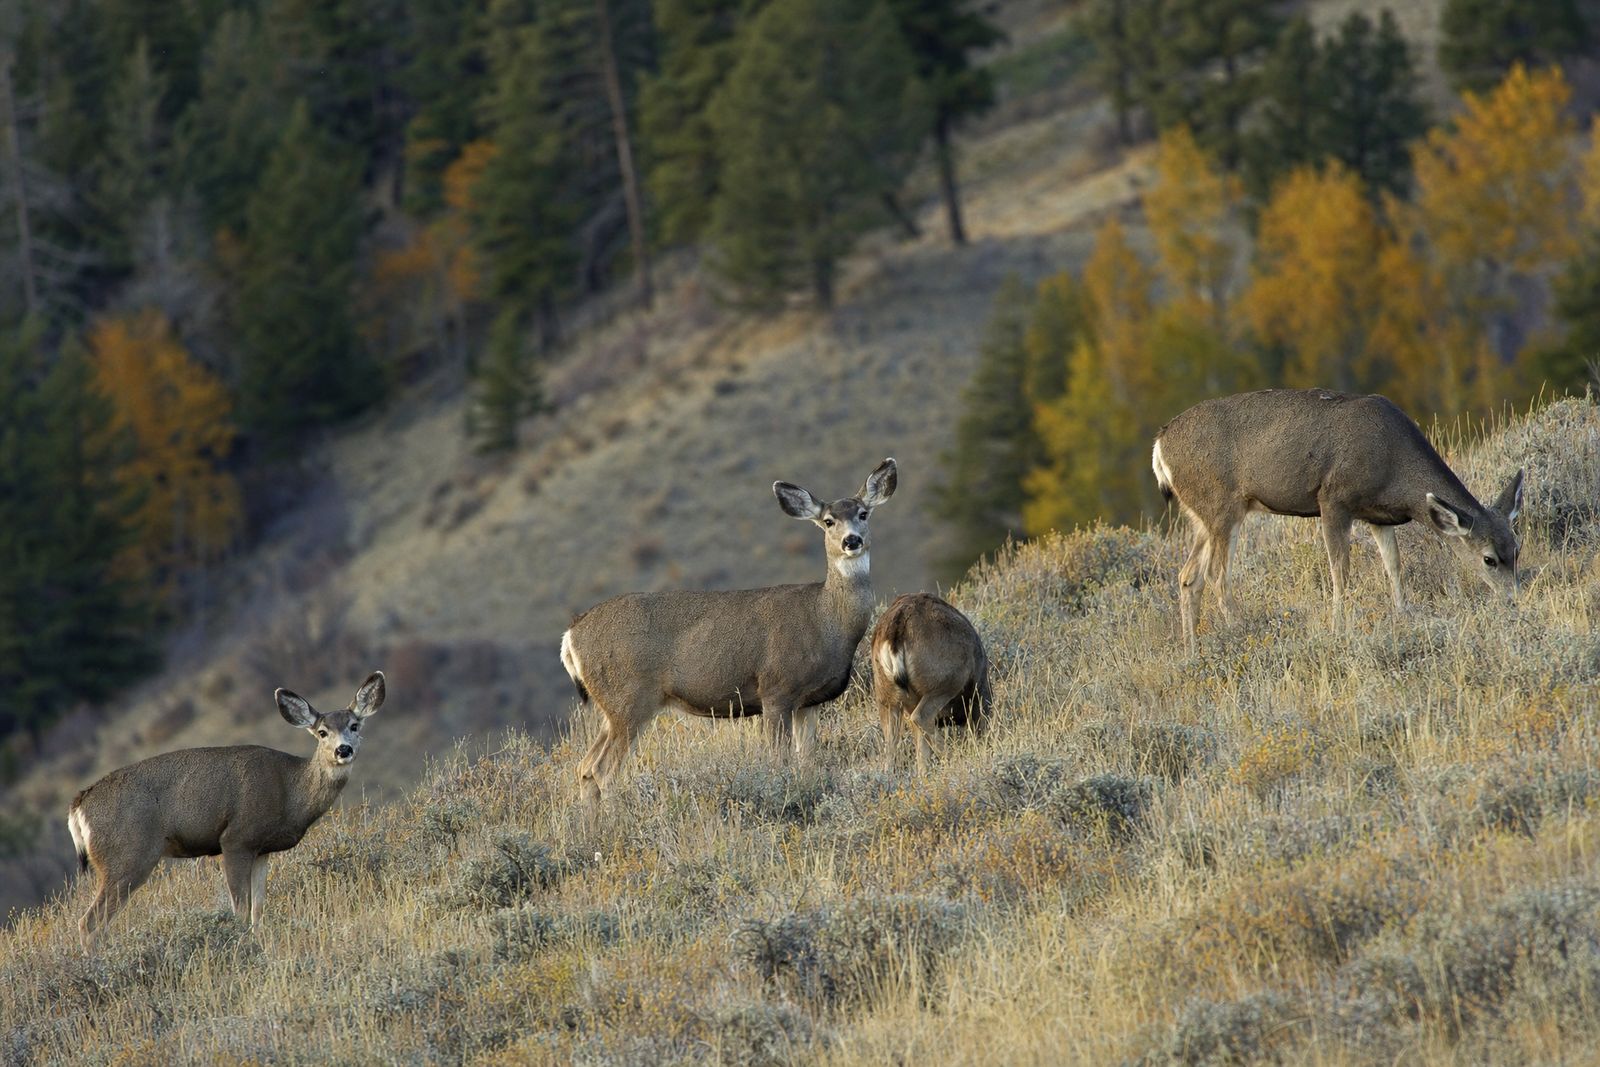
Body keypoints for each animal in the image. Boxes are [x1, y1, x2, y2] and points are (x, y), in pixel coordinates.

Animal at [66, 671, 385, 950]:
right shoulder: (236, 838)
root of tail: (79, 805)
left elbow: (258, 910)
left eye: (354, 726)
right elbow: (240, 910)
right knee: (89, 922)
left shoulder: (262, 849)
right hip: (127, 855)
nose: (343, 750)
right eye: (322, 732)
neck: (290, 792)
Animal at [561, 459, 897, 803]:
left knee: (584, 768)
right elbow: (779, 762)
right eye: (829, 521)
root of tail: (571, 635)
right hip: (631, 697)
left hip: (613, 706)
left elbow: (807, 763)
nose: (851, 541)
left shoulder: (809, 702)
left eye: (863, 514)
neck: (826, 619)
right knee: (603, 770)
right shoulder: (776, 689)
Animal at [870, 593, 992, 774]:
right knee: (921, 717)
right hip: (946, 683)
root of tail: (896, 630)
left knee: (892, 746)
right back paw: (954, 760)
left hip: (886, 697)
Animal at [1151, 388, 1524, 649]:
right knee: (1217, 575)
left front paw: (1403, 614)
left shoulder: (1379, 516)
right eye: (1489, 559)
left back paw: (1194, 651)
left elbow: (1393, 565)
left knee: (1189, 577)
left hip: (1202, 514)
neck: (1395, 468)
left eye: (1516, 549)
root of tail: (1160, 445)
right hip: (1222, 506)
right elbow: (1340, 572)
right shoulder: (1333, 500)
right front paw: (1338, 628)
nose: (1513, 601)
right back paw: (1241, 633)